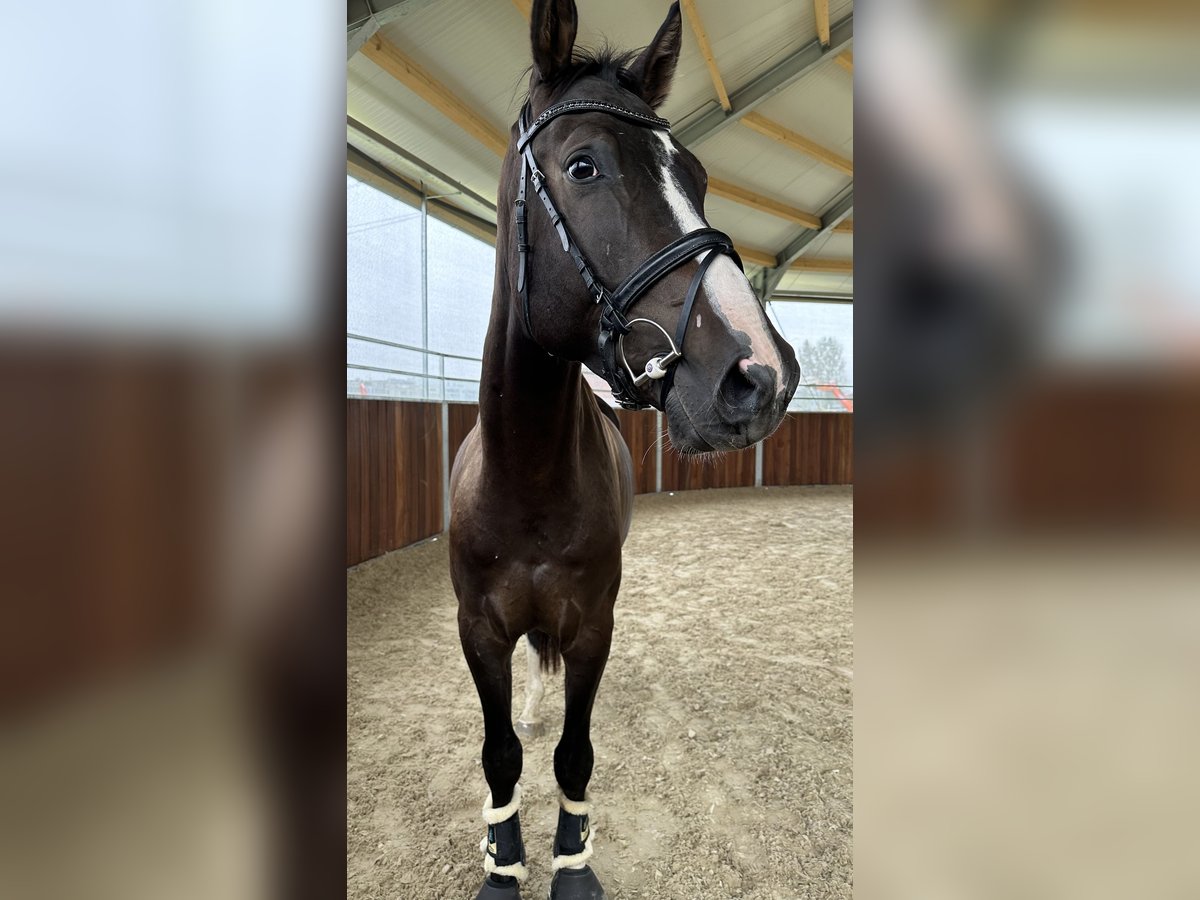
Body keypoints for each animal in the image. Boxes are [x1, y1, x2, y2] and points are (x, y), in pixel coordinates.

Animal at [448, 3, 796, 897]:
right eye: (584, 166)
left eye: (697, 176)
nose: (761, 376)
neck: (527, 477)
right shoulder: (479, 632)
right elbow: (501, 755)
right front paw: (502, 860)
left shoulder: (592, 626)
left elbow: (575, 756)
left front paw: (572, 862)